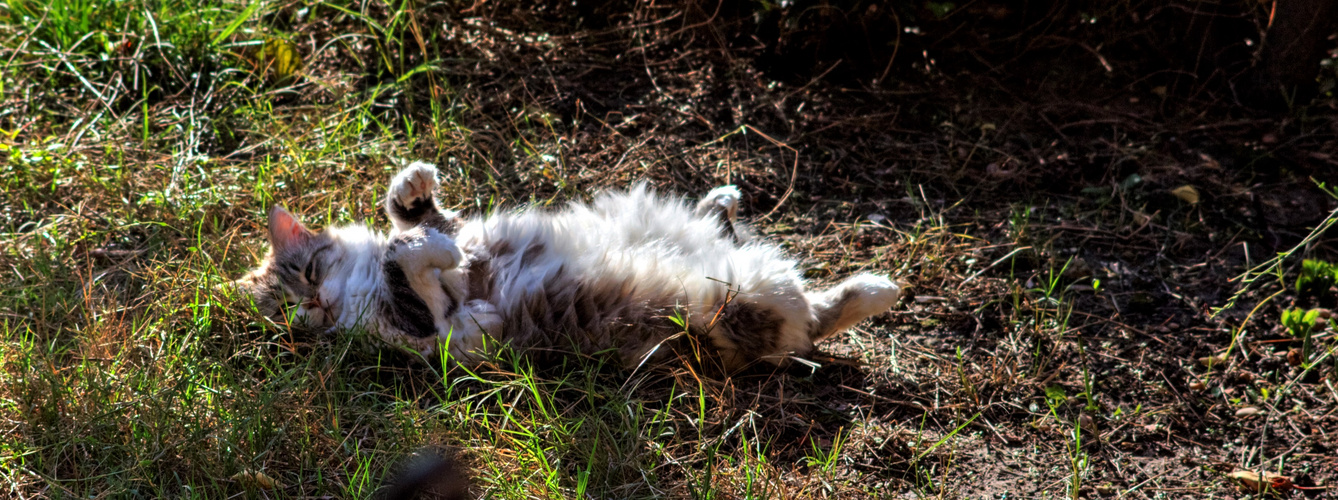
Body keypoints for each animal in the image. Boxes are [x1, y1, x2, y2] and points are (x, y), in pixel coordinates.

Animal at [238, 163, 909, 371]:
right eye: (296, 321)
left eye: (308, 275)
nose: (318, 307)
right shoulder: (440, 331)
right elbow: (412, 258)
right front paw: (429, 250)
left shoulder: (456, 242)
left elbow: (414, 222)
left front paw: (413, 188)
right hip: (730, 308)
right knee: (813, 317)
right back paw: (878, 288)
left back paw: (721, 200)